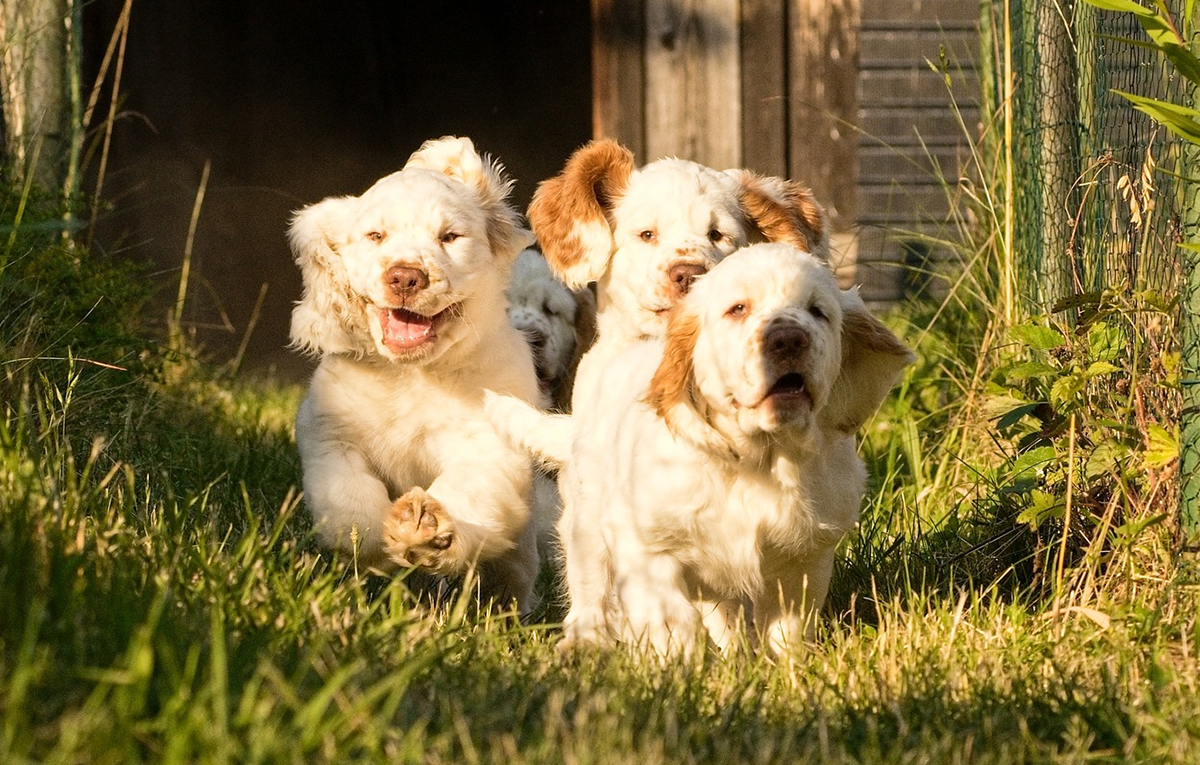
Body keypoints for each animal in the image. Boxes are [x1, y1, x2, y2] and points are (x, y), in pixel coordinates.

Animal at [288, 136, 543, 616]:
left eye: (449, 237)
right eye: (376, 236)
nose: (405, 277)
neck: (413, 376)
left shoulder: (487, 445)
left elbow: (469, 493)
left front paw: (426, 529)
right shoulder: (331, 435)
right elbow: (350, 500)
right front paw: (376, 548)